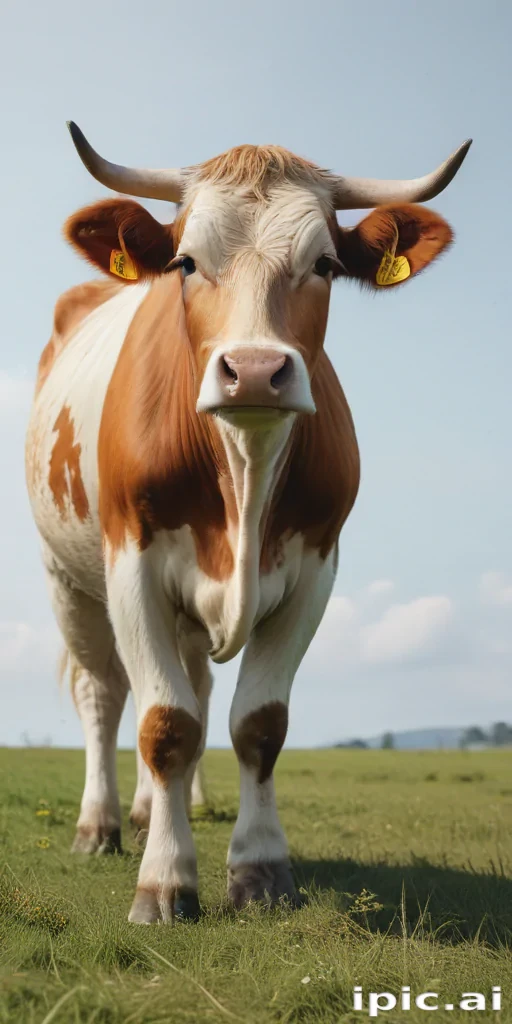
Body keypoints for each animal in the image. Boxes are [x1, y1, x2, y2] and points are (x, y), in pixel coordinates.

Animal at [25, 123, 470, 923]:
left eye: (325, 263)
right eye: (185, 262)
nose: (257, 370)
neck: (244, 469)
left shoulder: (315, 569)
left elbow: (255, 724)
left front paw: (259, 870)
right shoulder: (131, 563)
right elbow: (164, 723)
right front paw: (165, 881)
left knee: (194, 690)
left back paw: (154, 811)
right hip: (65, 579)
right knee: (105, 695)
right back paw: (100, 825)